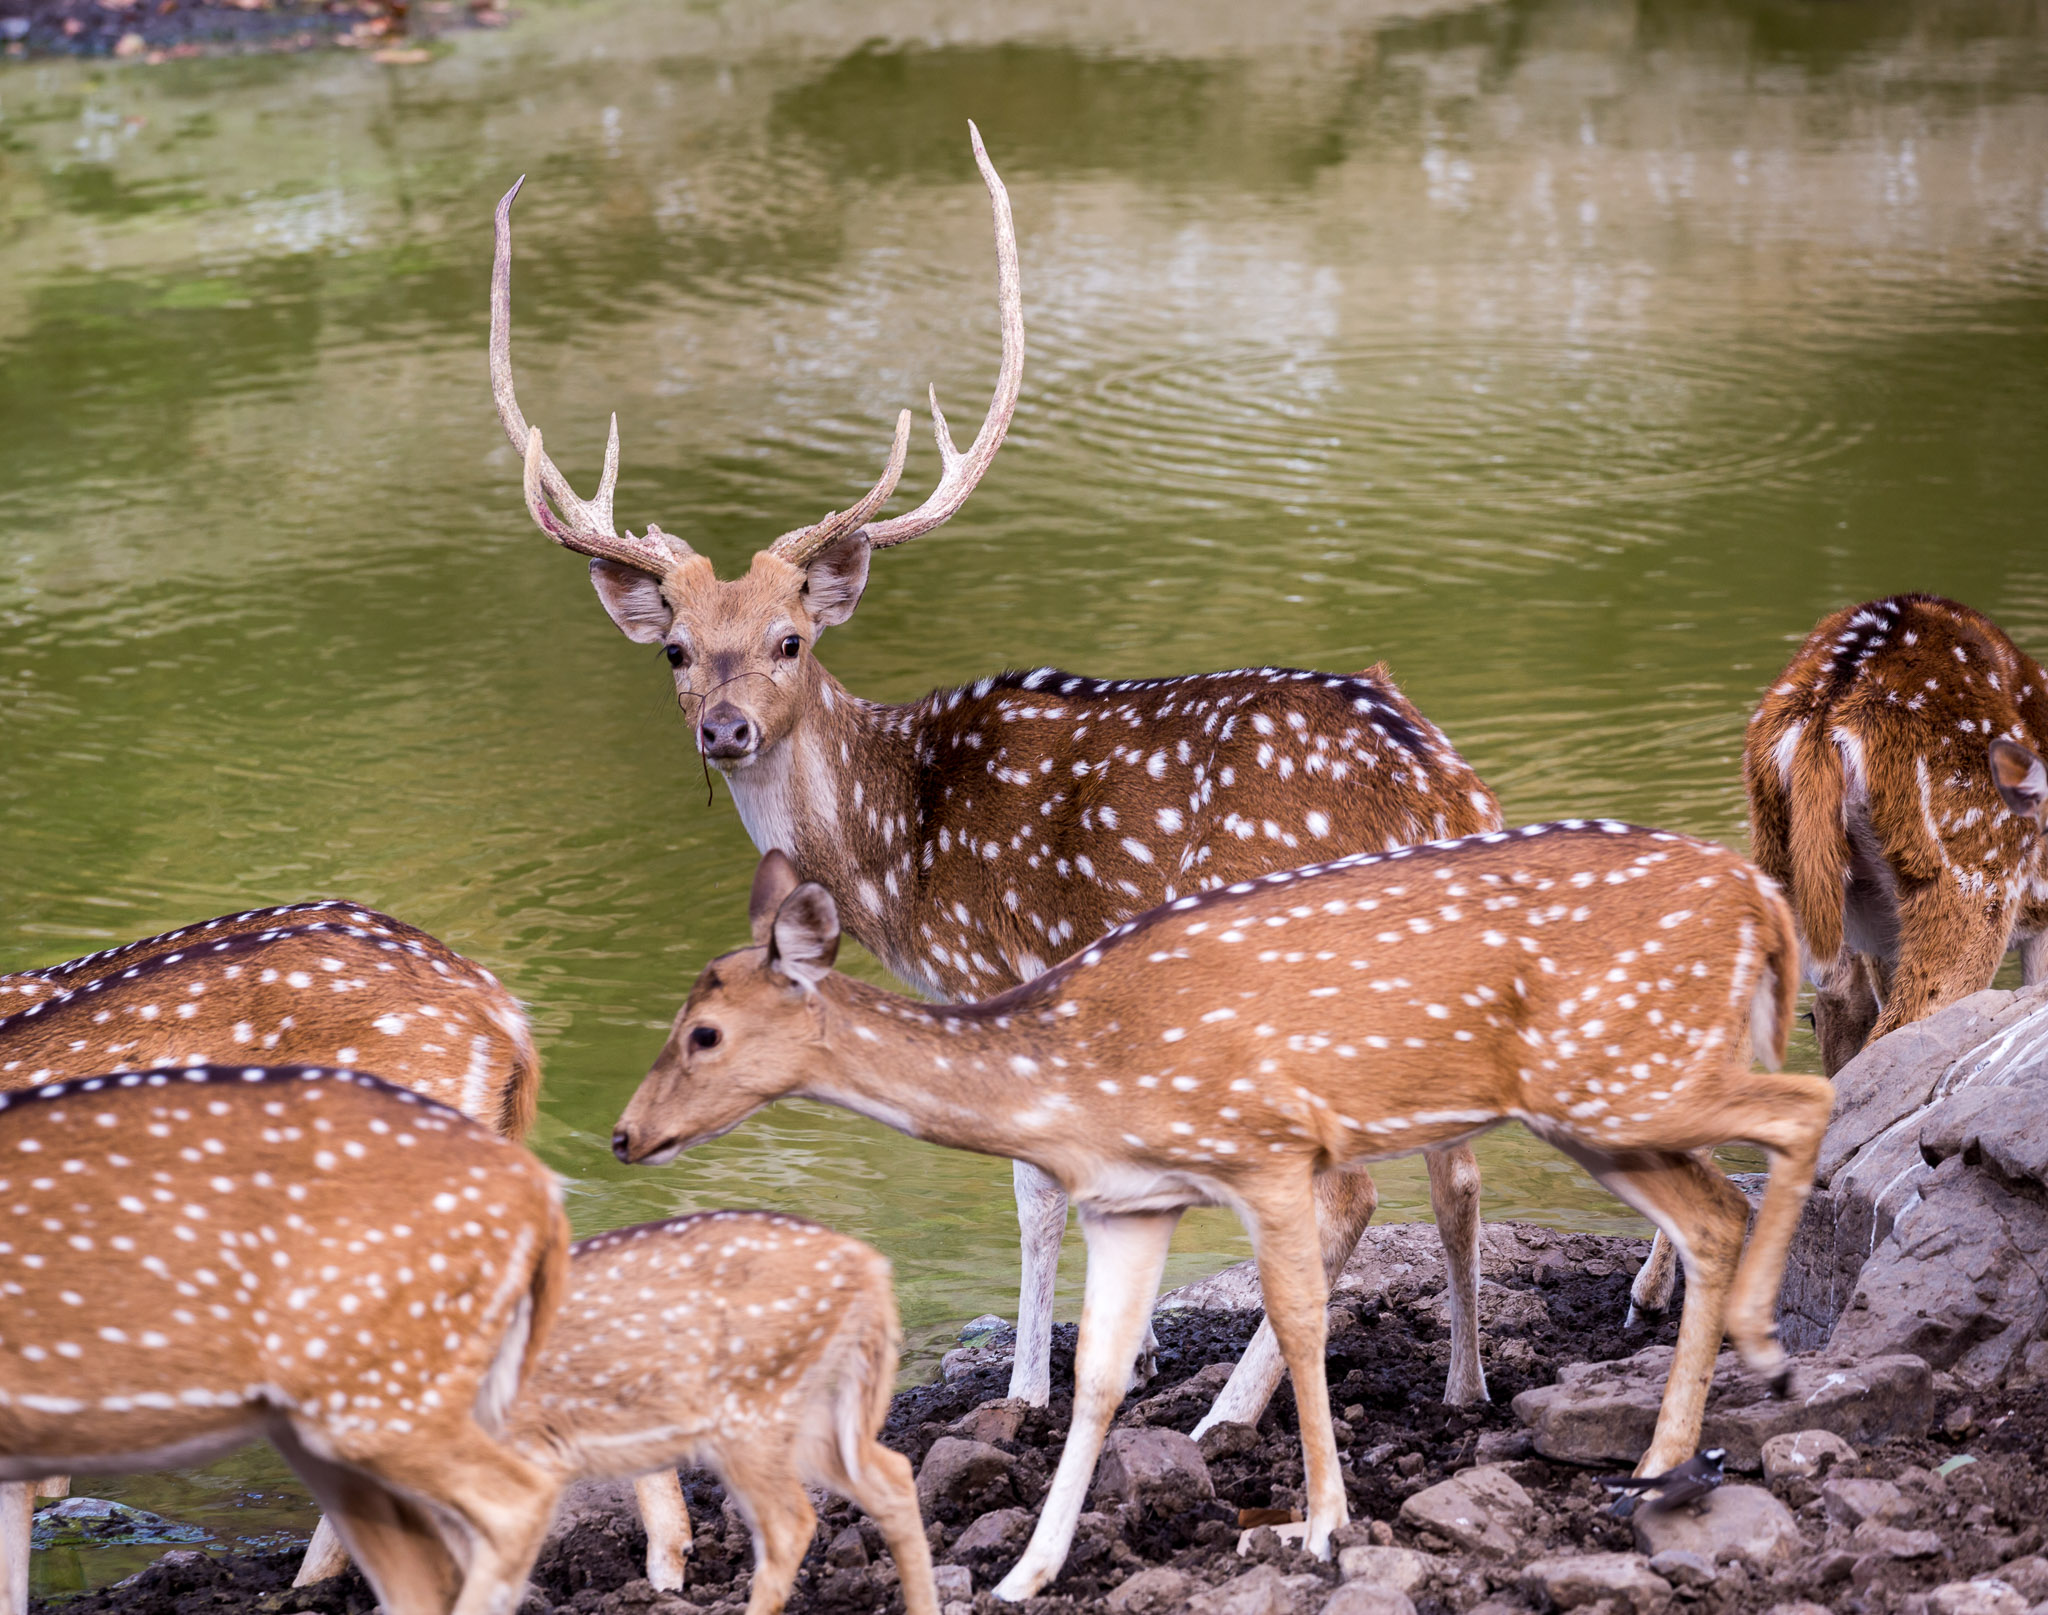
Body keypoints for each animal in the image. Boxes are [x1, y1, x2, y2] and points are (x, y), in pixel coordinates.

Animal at [485, 122, 1499, 1424]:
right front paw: (1133, 1350)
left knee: (1352, 1186)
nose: (724, 729)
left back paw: (1231, 1410)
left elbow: (1034, 1180)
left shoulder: (994, 970)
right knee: (1453, 1164)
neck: (891, 851)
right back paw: (1462, 1381)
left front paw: (1024, 1386)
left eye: (790, 639)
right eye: (673, 648)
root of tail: (1432, 785)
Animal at [614, 839, 1835, 1596]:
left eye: (705, 1033)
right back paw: (1659, 1464)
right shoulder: (1134, 1201)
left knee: (1802, 1103)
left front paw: (1322, 1522)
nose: (624, 1135)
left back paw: (1770, 1355)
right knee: (1713, 1208)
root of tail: (1764, 903)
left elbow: (1299, 1319)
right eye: (676, 1019)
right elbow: (1099, 1377)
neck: (1072, 1078)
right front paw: (1023, 1573)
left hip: (1623, 1073)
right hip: (1600, 1105)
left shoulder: (1268, 1146)